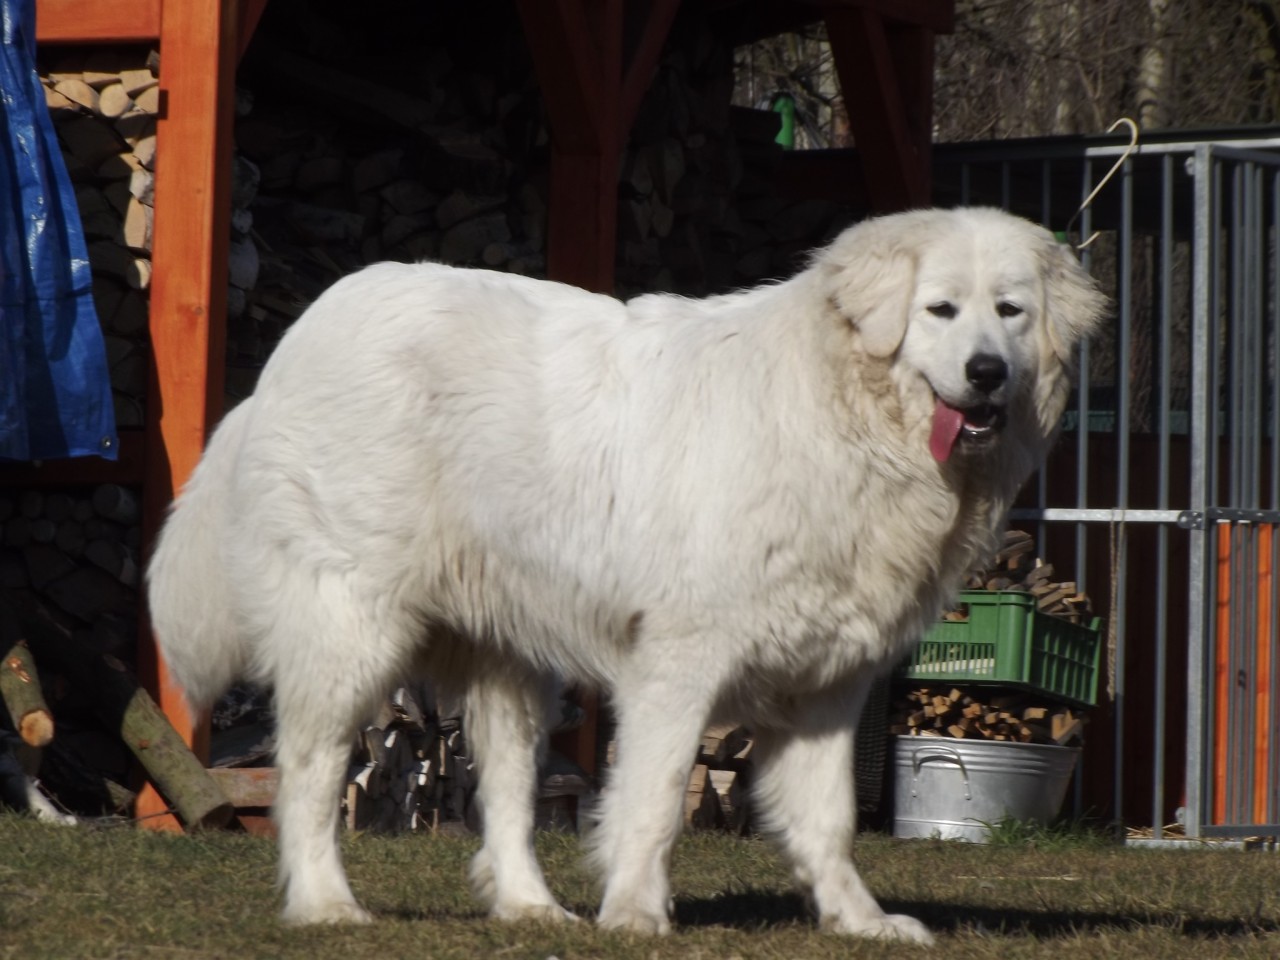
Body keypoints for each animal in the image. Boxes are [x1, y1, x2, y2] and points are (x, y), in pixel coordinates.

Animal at [147, 207, 1104, 942]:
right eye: (940, 310)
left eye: (1010, 312)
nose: (987, 373)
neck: (843, 413)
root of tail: (300, 338)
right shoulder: (681, 659)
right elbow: (652, 796)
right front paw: (637, 914)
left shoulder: (828, 684)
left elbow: (829, 818)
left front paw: (857, 921)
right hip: (353, 628)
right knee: (309, 771)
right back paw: (325, 904)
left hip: (510, 659)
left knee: (505, 791)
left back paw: (530, 908)